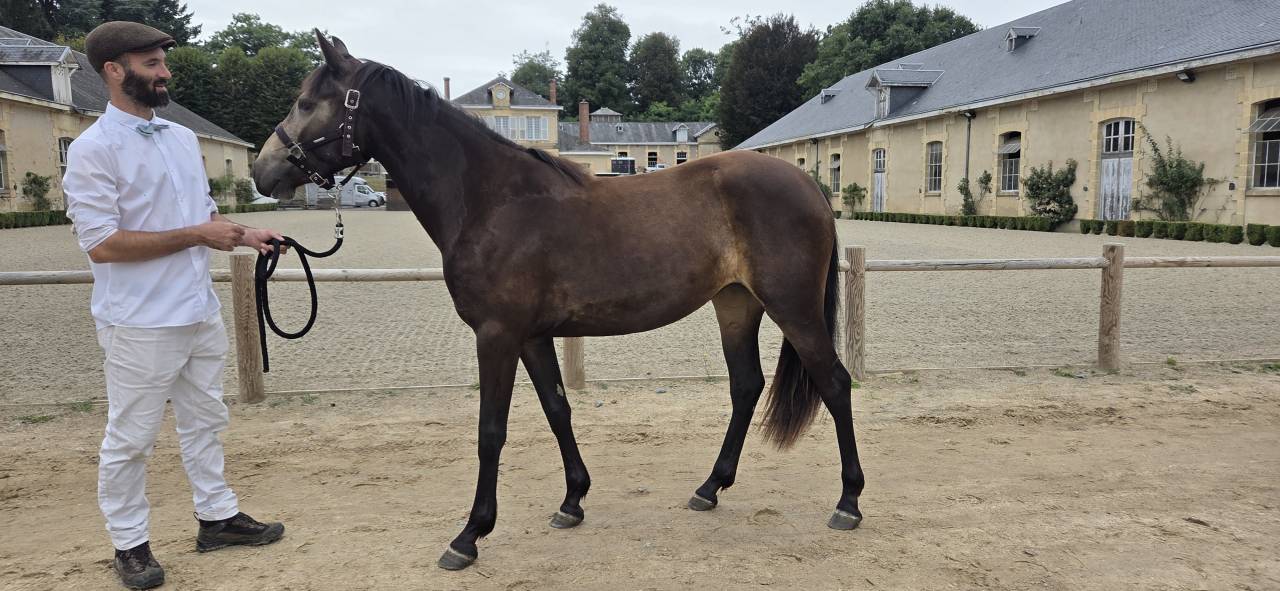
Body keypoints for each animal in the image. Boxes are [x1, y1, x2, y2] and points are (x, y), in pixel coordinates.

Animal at [252, 32, 865, 571]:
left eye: (307, 102)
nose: (263, 170)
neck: (492, 200)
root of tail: (812, 188)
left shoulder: (496, 335)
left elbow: (491, 431)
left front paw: (470, 535)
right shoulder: (531, 335)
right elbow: (557, 409)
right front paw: (573, 501)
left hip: (793, 309)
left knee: (834, 383)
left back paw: (848, 502)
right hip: (735, 304)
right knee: (745, 387)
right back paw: (710, 487)